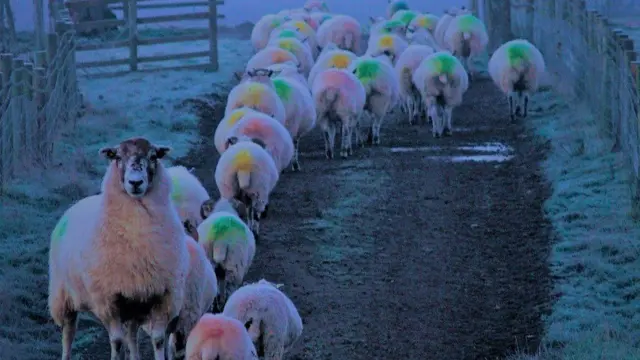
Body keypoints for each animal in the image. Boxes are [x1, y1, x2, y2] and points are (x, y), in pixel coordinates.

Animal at [48, 138, 189, 360]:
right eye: (117, 157)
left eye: (153, 156)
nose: (135, 182)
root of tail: (77, 203)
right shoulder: (109, 301)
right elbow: (116, 342)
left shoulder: (162, 296)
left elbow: (158, 340)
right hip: (63, 296)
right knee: (68, 333)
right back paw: (66, 354)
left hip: (134, 304)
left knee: (131, 335)